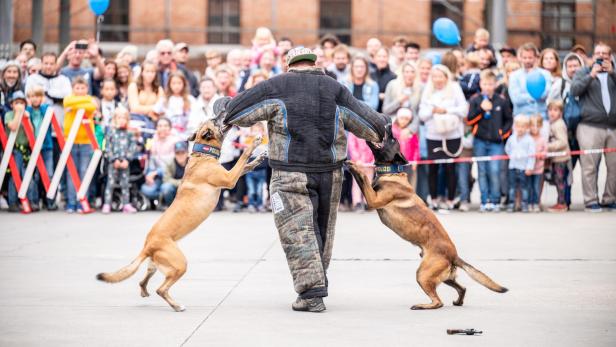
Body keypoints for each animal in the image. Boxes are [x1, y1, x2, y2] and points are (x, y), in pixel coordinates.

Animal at [96, 120, 264, 312]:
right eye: (215, 120)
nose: (225, 118)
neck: (203, 154)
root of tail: (148, 246)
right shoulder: (229, 178)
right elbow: (243, 158)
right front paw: (254, 143)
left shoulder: (231, 175)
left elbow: (246, 166)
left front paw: (258, 159)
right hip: (180, 264)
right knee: (161, 289)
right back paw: (176, 306)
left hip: (156, 265)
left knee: (143, 280)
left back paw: (145, 291)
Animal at [344, 125, 508, 310]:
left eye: (393, 140)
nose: (388, 126)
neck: (392, 173)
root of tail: (454, 255)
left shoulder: (373, 200)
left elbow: (363, 178)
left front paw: (354, 165)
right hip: (443, 276)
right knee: (462, 288)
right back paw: (457, 302)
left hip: (423, 273)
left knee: (438, 302)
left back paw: (422, 305)